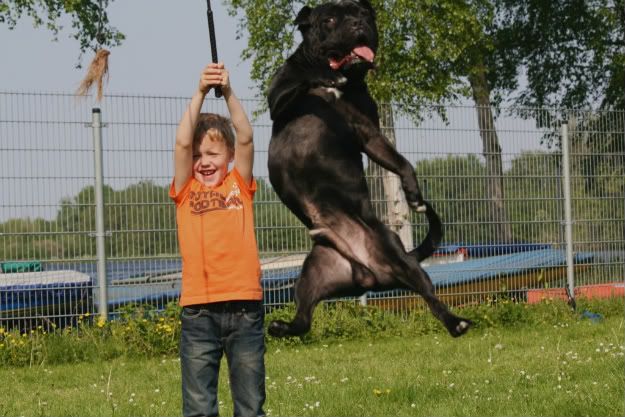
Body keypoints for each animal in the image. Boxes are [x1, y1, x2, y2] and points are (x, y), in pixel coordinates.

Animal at [266, 0, 470, 338]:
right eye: (329, 20)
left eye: (364, 15)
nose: (357, 24)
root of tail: (366, 273)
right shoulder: (279, 99)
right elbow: (303, 79)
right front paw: (324, 76)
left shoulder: (368, 133)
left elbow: (399, 161)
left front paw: (413, 193)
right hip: (312, 272)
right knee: (304, 319)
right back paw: (280, 326)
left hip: (401, 260)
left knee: (430, 295)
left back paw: (457, 322)